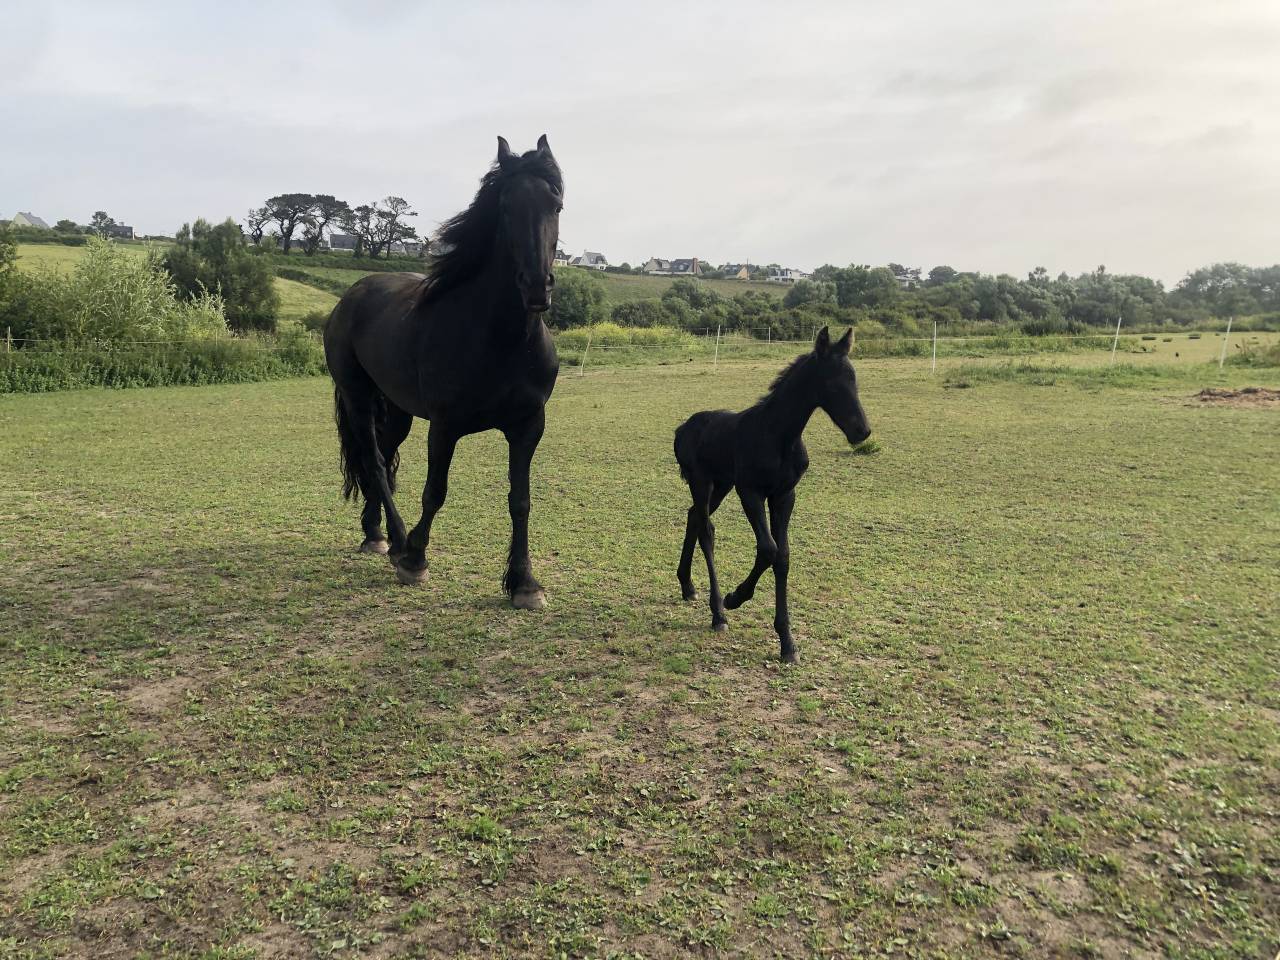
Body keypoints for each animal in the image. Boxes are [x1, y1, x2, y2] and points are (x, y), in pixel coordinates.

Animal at [324, 135, 563, 610]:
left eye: (556, 204)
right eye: (505, 206)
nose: (536, 287)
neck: (502, 341)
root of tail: (350, 297)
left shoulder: (529, 426)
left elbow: (521, 500)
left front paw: (524, 582)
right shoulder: (445, 426)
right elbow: (435, 491)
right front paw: (416, 558)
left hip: (397, 410)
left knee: (382, 459)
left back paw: (376, 533)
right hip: (358, 396)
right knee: (373, 461)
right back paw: (398, 542)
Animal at [673, 326, 871, 662]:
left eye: (854, 379)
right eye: (831, 382)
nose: (862, 431)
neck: (779, 436)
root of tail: (682, 428)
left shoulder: (784, 496)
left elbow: (784, 556)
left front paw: (787, 642)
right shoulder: (750, 492)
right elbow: (768, 549)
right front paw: (735, 597)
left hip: (721, 484)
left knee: (693, 519)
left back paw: (687, 585)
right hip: (702, 482)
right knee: (706, 530)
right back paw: (718, 613)